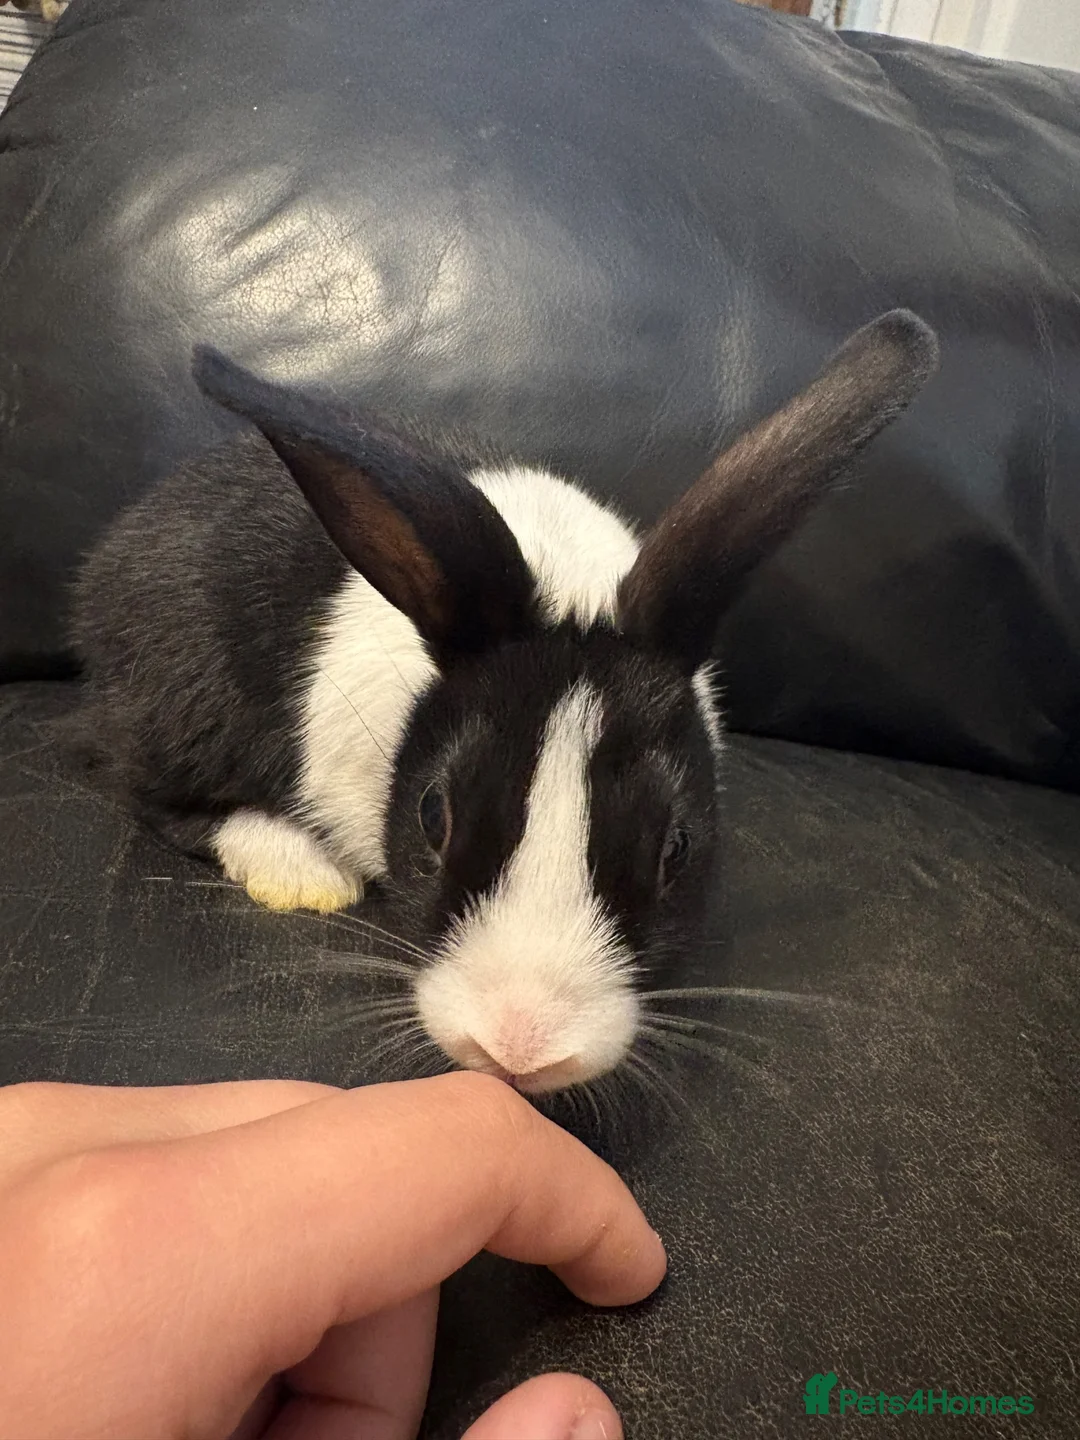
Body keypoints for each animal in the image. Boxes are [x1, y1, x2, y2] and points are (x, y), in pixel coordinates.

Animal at [73, 310, 938, 1093]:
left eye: (677, 847)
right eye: (433, 814)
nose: (522, 1046)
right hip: (188, 699)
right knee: (146, 787)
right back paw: (302, 871)